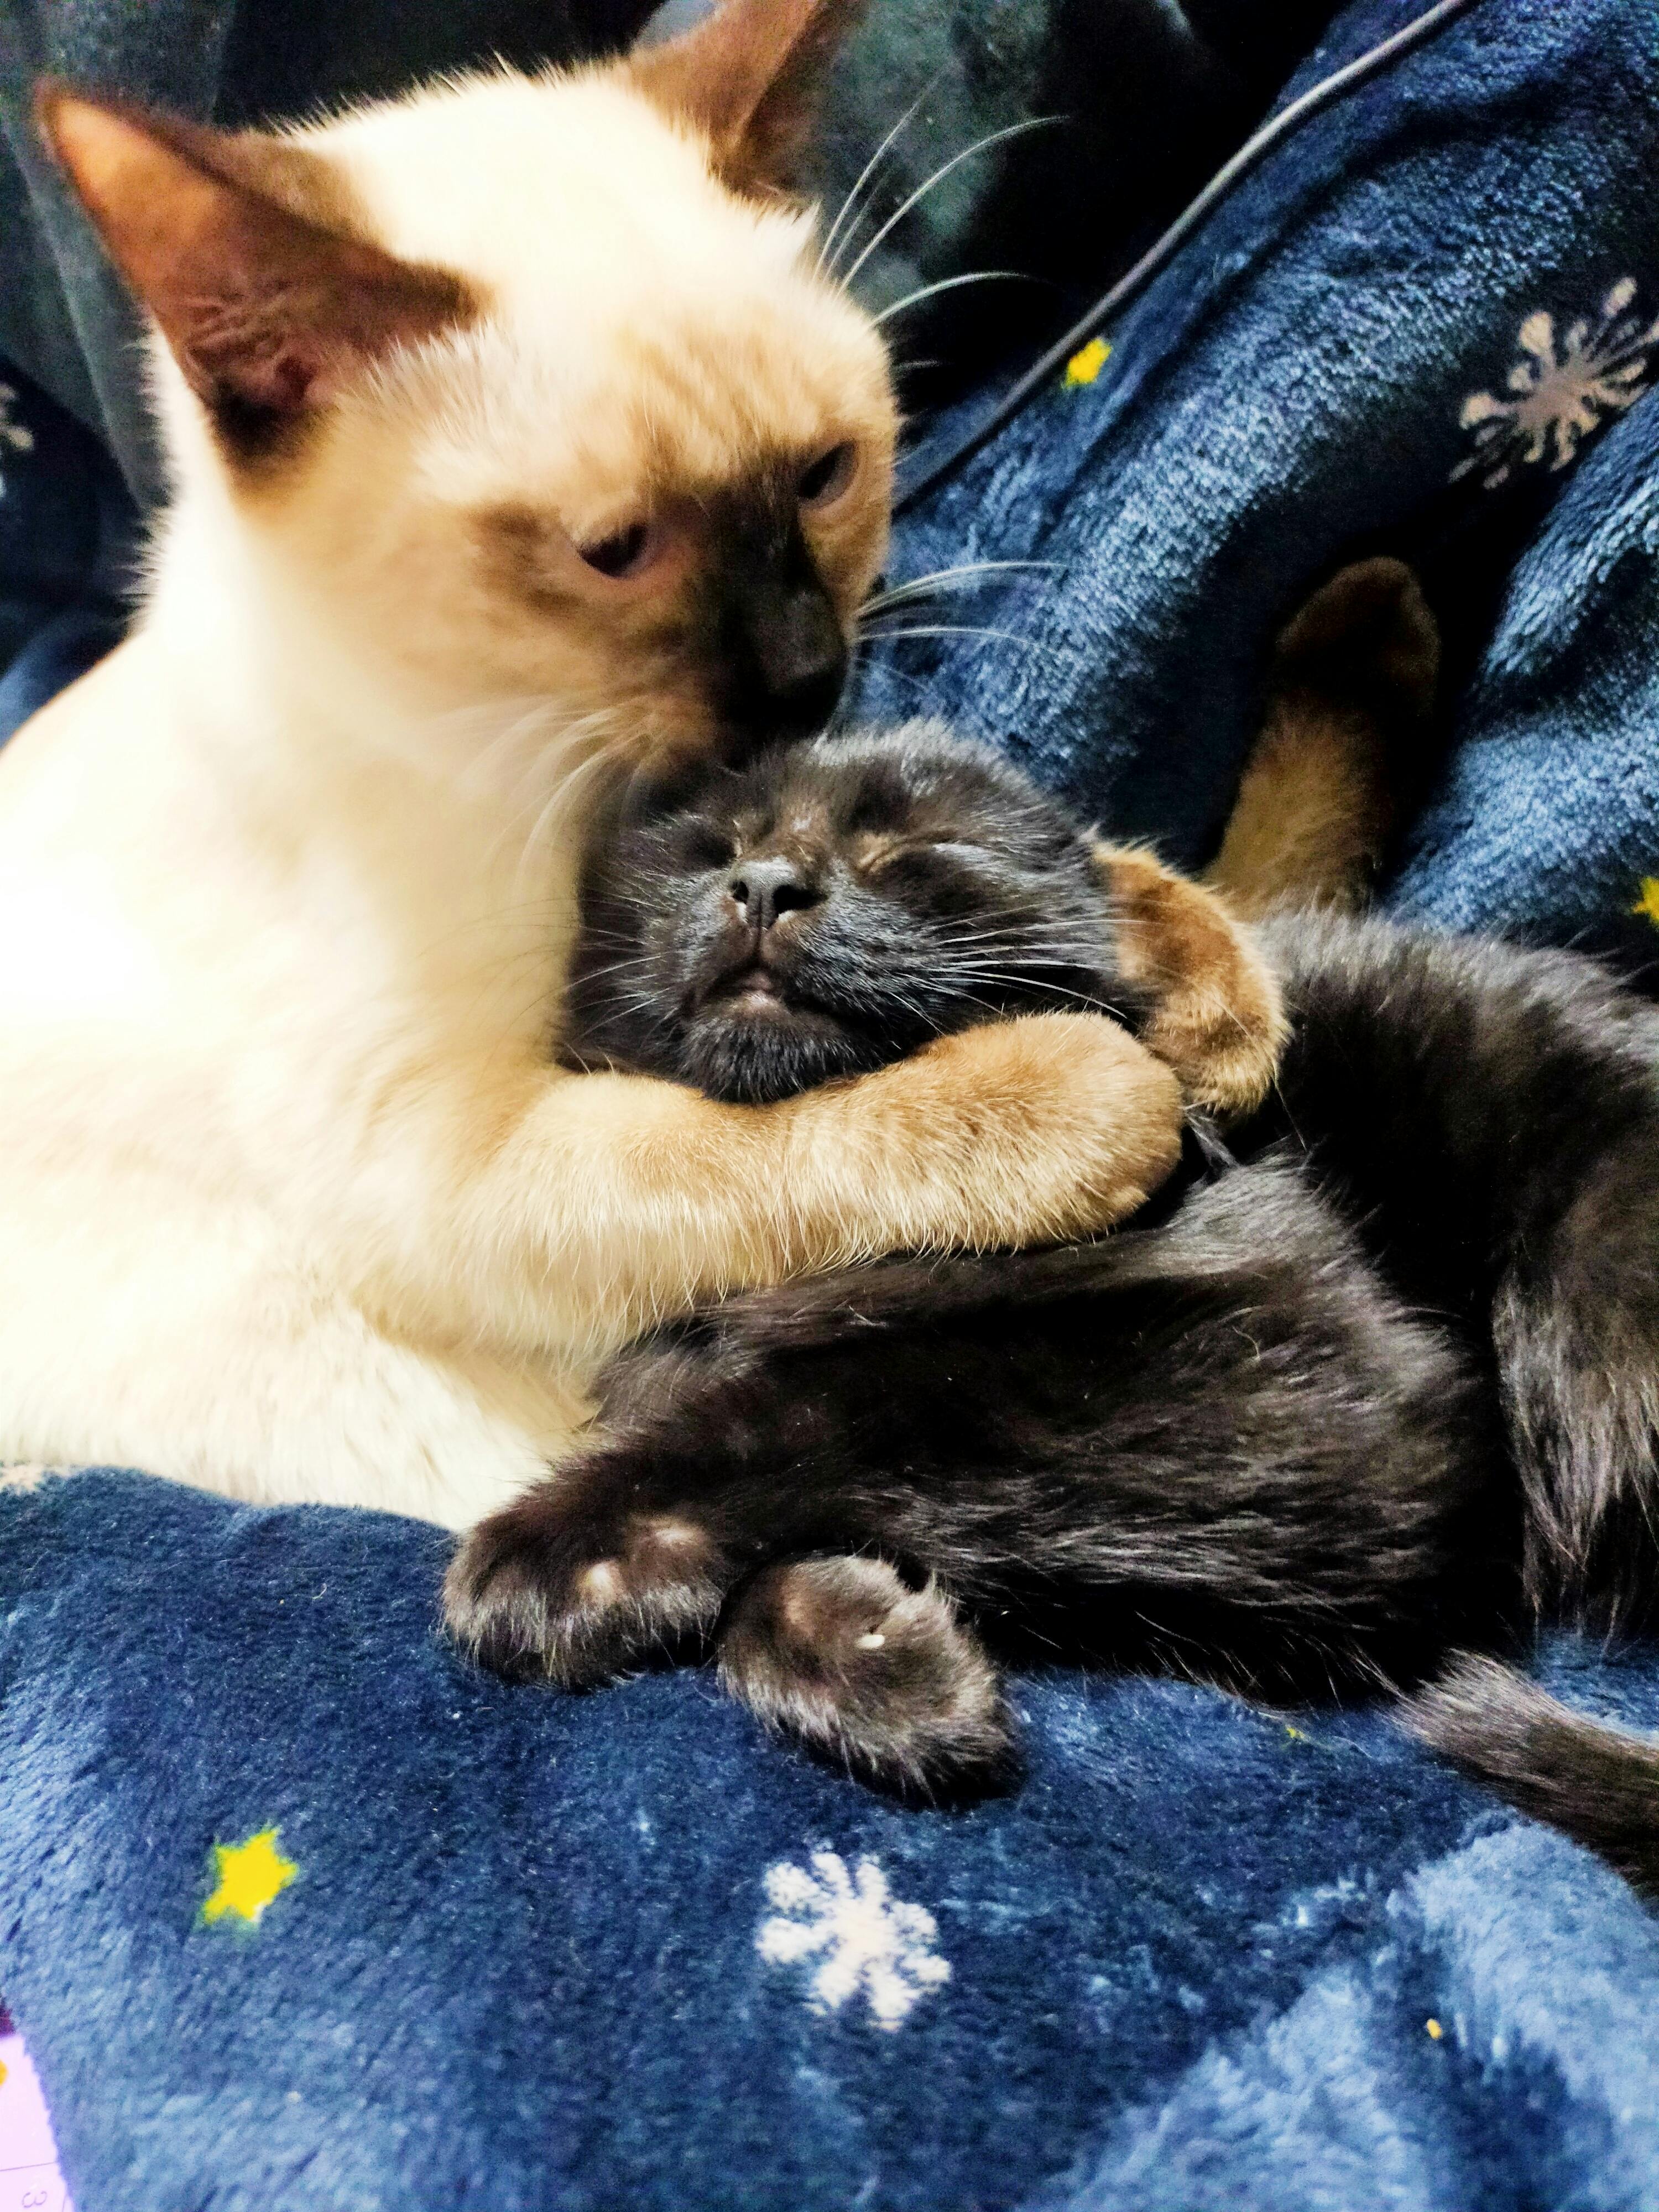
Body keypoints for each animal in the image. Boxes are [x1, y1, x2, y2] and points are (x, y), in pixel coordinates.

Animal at [0, 0, 1282, 1524]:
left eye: (826, 475)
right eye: (617, 551)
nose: (805, 675)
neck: (557, 767)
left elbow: (1066, 862)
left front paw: (1204, 997)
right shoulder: (442, 1163)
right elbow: (756, 1136)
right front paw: (1094, 1088)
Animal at [445, 591, 1659, 1888]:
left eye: (917, 852)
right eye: (711, 846)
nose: (764, 883)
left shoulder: (1317, 1375)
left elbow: (853, 1397)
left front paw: (576, 1544)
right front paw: (885, 1663)